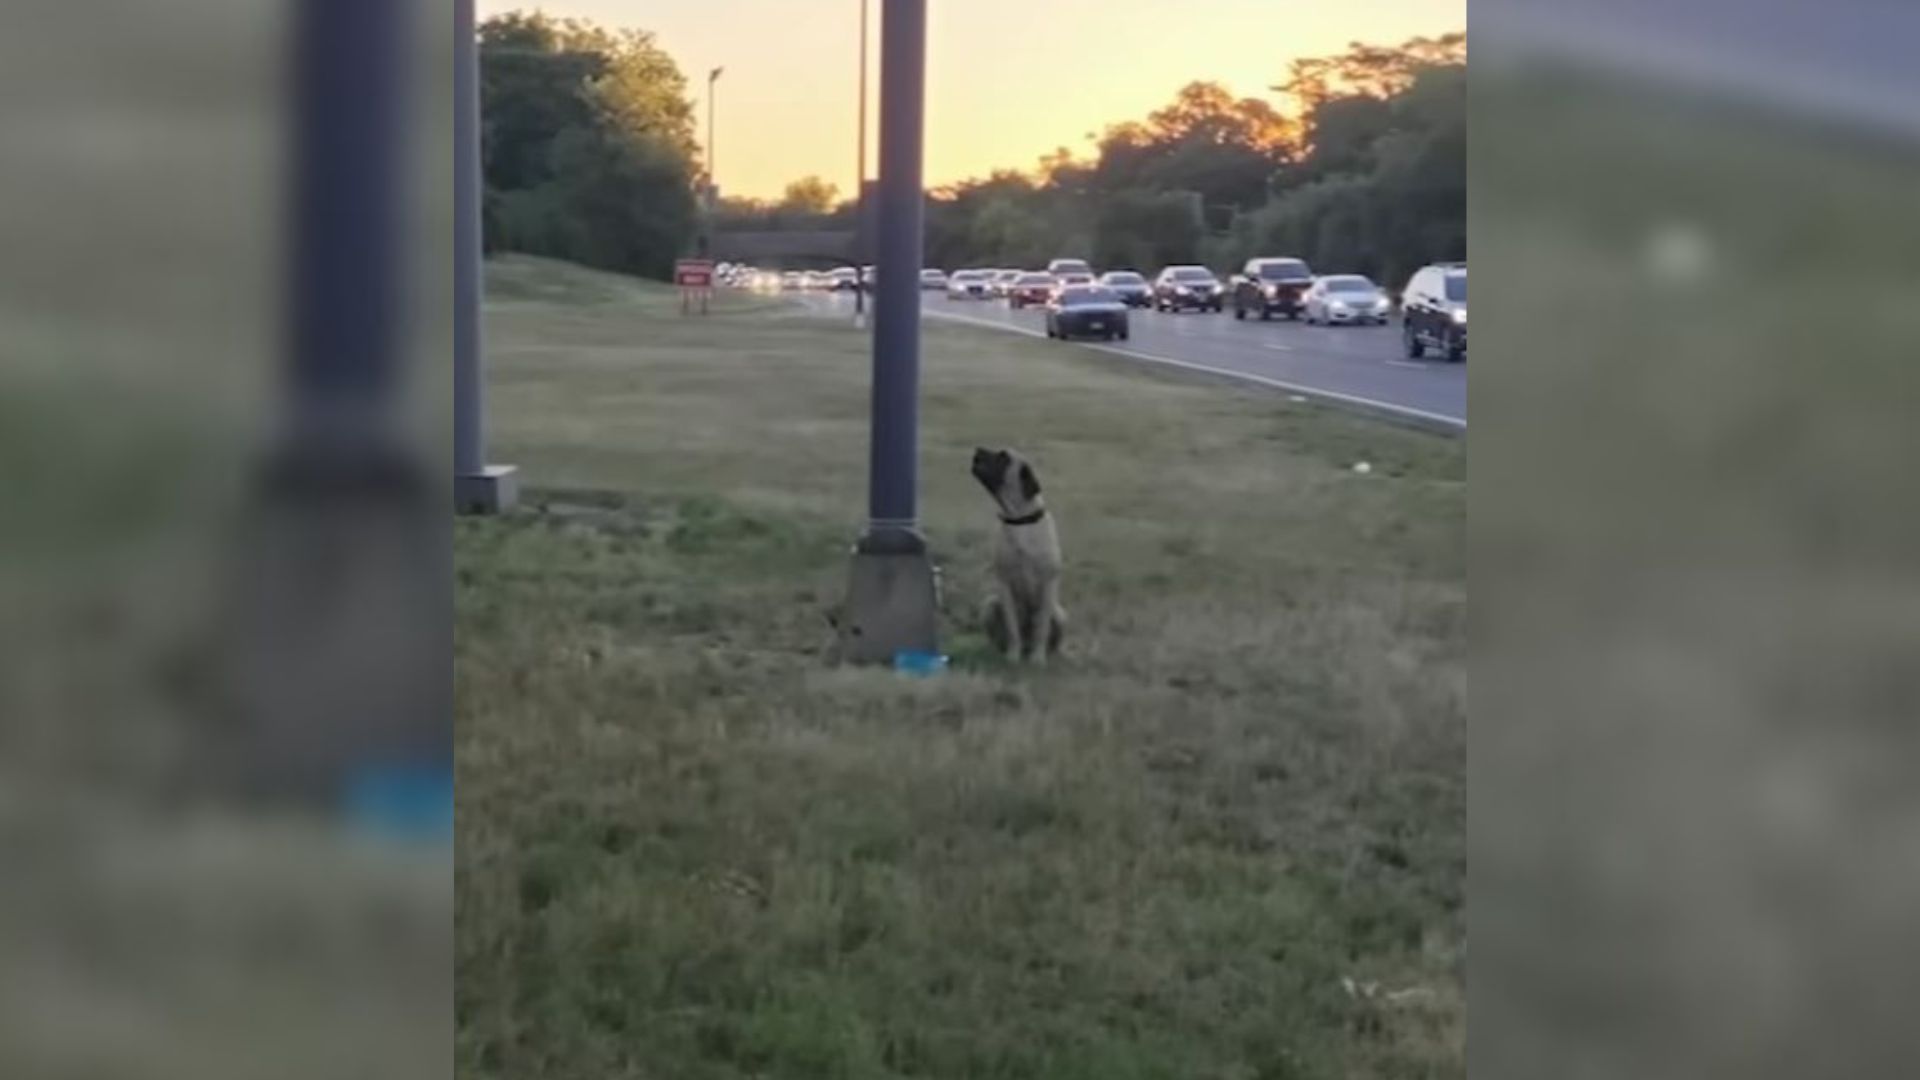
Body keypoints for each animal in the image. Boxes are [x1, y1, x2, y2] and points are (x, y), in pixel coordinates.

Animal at [967, 445, 1075, 664]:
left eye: (1003, 458)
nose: (977, 450)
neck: (1020, 520)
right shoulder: (1004, 584)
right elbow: (1012, 627)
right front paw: (1012, 656)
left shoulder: (1047, 585)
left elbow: (1041, 627)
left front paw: (1037, 659)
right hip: (990, 604)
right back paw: (996, 651)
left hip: (1060, 615)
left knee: (1053, 638)